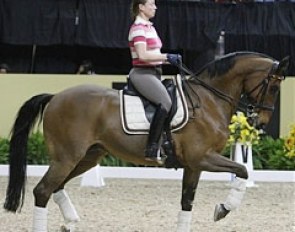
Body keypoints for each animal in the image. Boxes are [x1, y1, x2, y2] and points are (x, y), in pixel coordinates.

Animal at [2, 51, 290, 231]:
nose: (261, 122)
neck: (209, 100)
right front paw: (223, 209)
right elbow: (242, 170)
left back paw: (70, 222)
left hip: (87, 156)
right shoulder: (202, 158)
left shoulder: (194, 166)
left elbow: (187, 202)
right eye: (275, 87)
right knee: (42, 190)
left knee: (56, 187)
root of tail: (55, 97)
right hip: (67, 157)